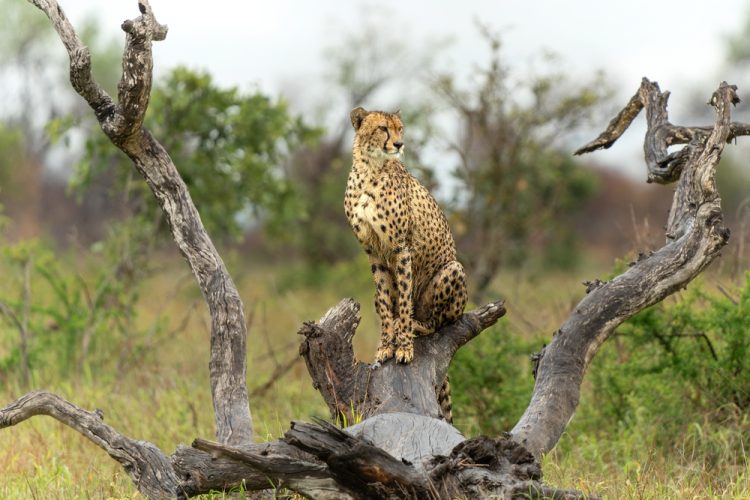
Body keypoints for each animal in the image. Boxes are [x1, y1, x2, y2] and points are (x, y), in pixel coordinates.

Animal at [344, 107, 468, 420]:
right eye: (383, 129)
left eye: (400, 129)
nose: (399, 144)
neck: (370, 169)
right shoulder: (374, 254)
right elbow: (387, 301)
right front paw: (385, 347)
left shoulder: (401, 248)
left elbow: (401, 299)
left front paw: (403, 347)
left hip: (453, 270)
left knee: (437, 322)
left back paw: (413, 324)